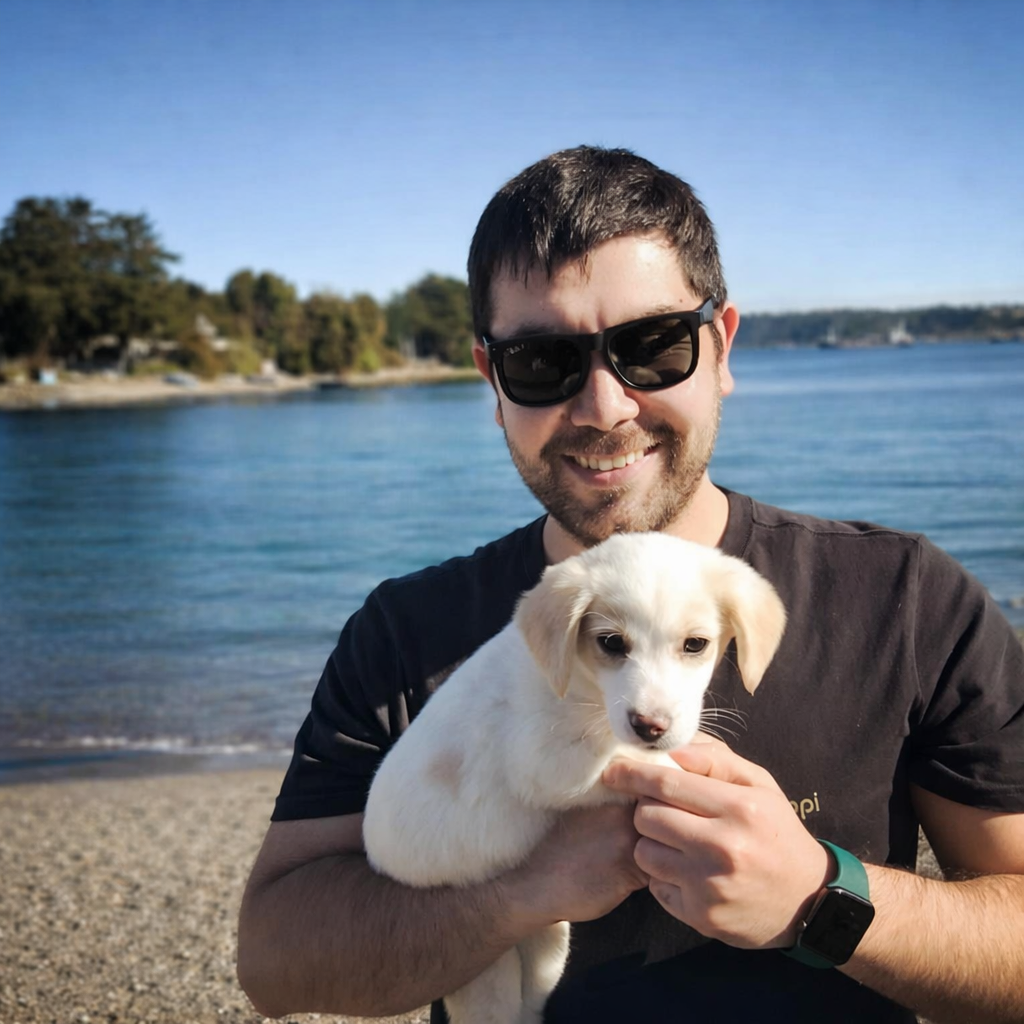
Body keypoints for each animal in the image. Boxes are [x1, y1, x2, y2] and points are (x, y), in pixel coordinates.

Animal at [362, 531, 787, 1024]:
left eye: (695, 644)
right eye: (612, 643)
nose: (650, 726)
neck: (585, 688)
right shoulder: (544, 760)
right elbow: (642, 765)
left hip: (548, 940)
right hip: (482, 970)